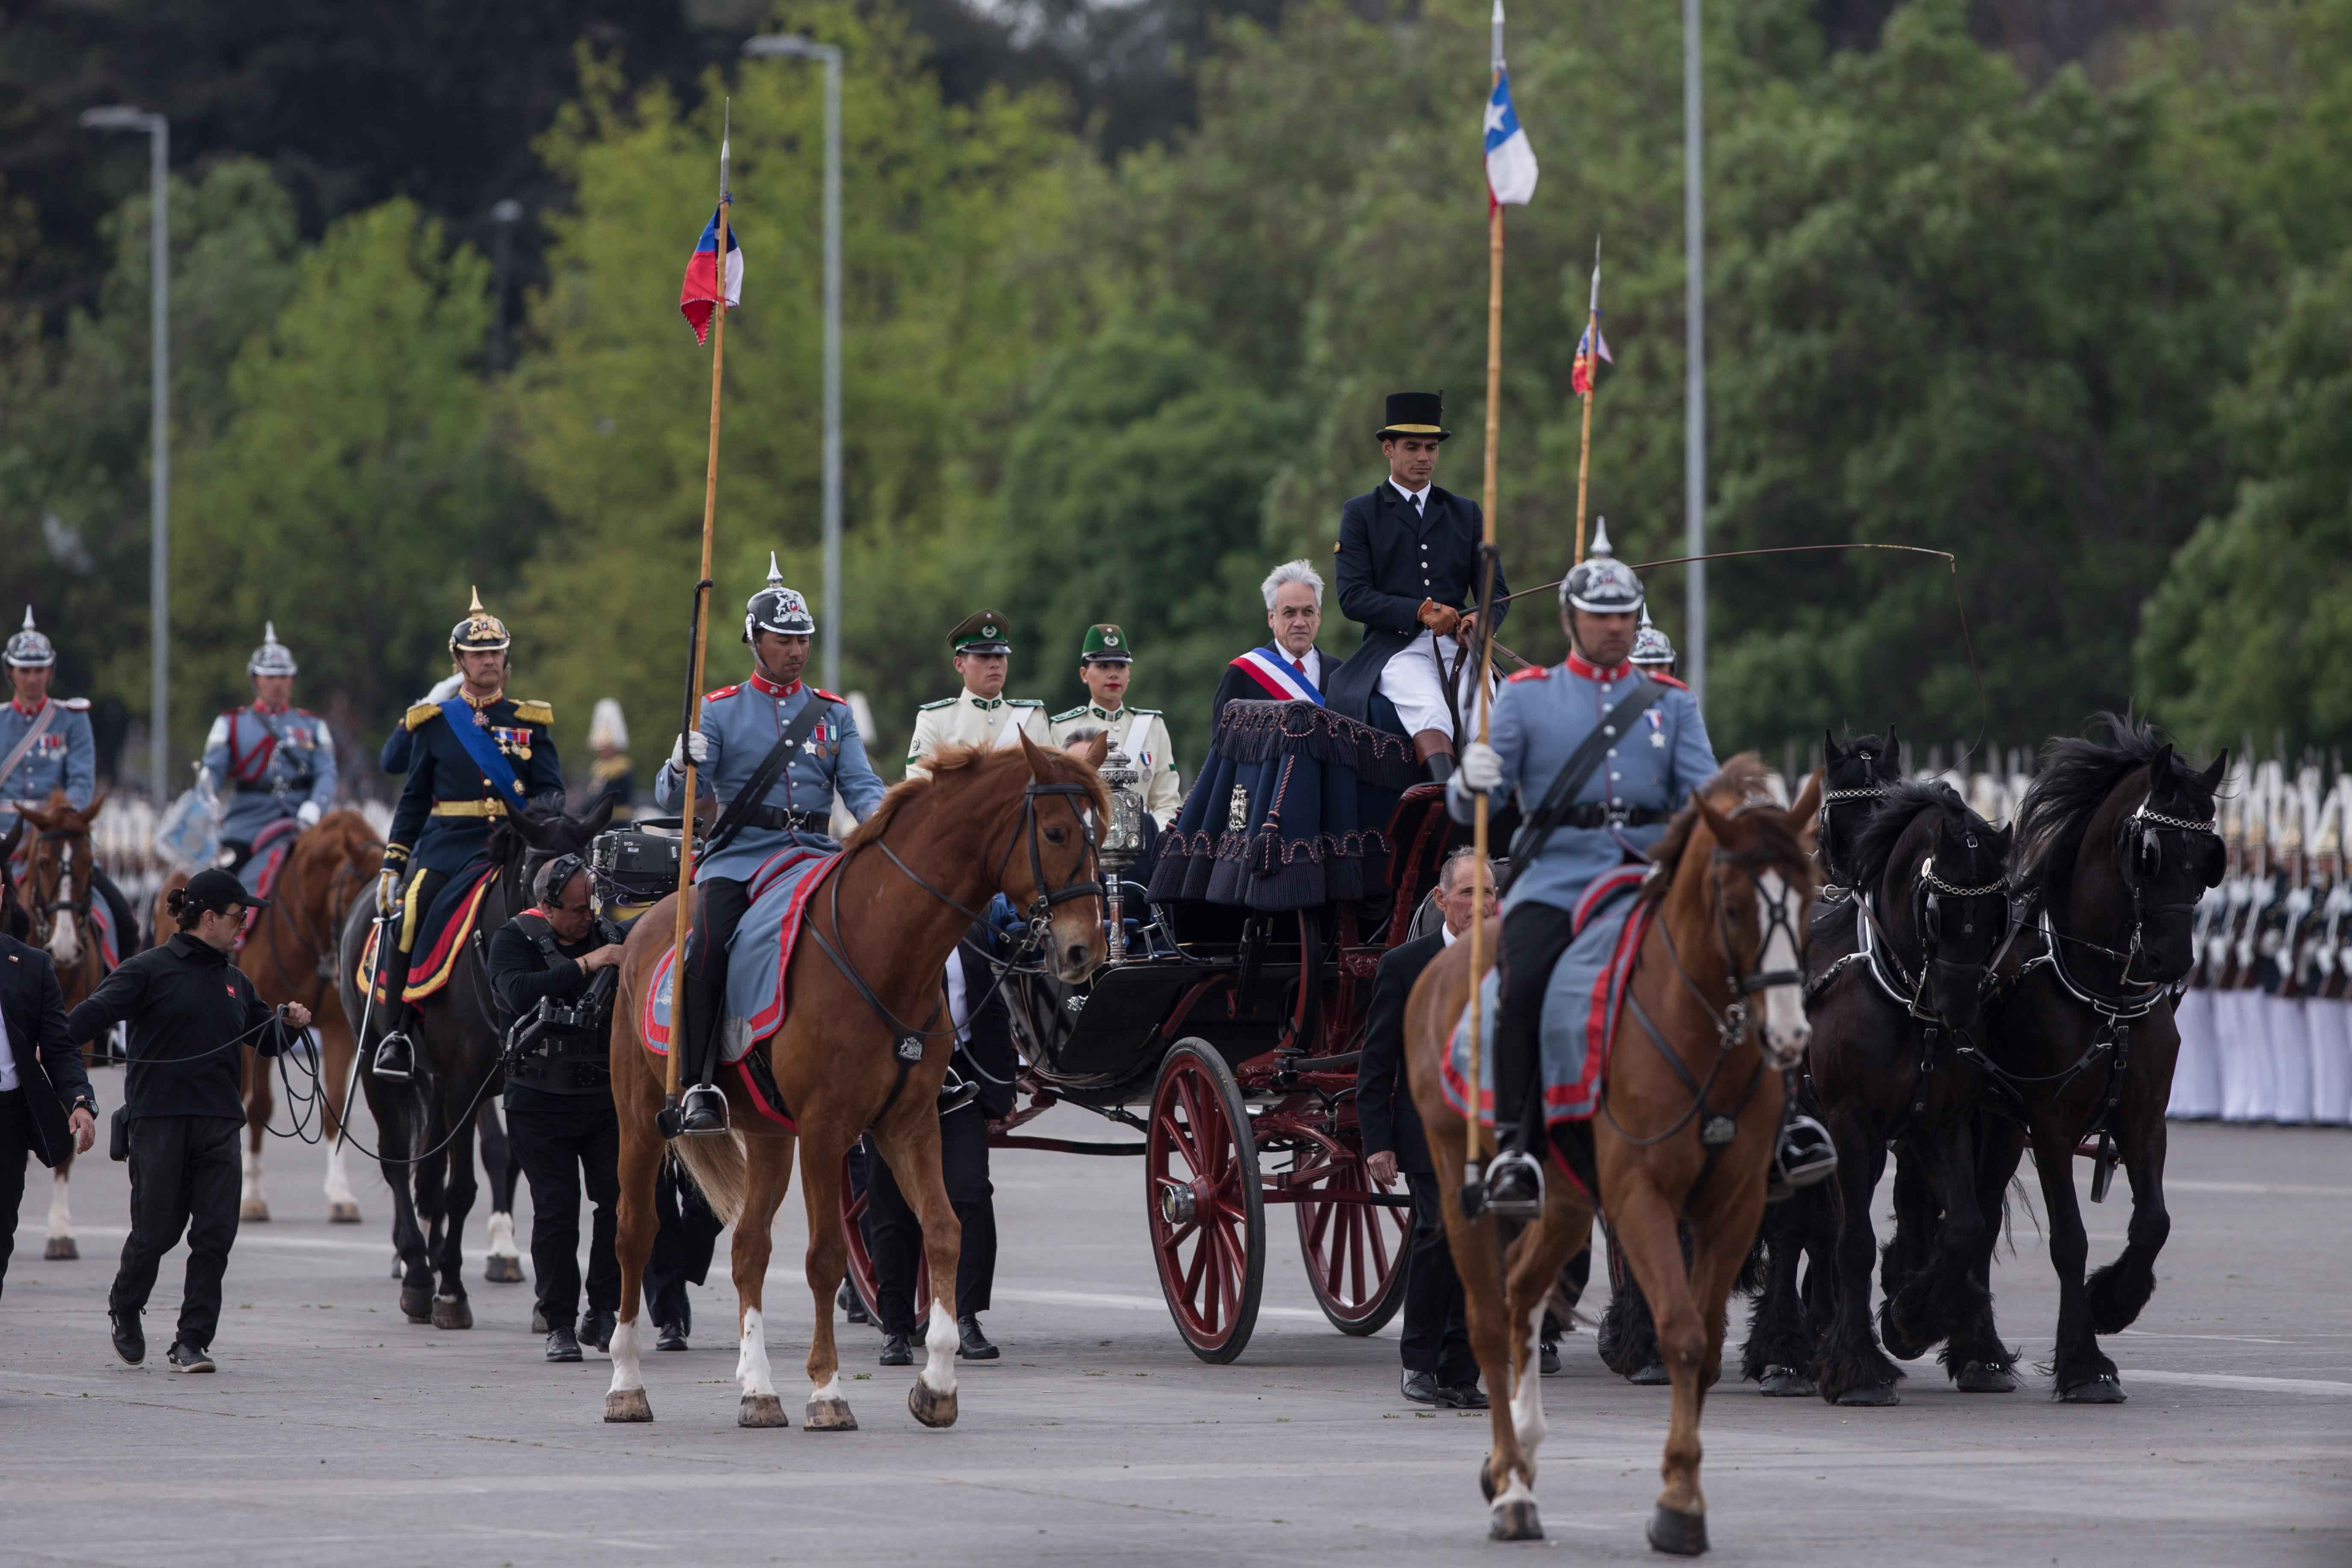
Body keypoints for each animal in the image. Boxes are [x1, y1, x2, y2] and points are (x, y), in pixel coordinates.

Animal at [341, 804, 621, 1335]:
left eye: (592, 882)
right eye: (530, 876)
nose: (559, 941)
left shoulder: (499, 1091)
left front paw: (540, 1298)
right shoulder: (464, 1086)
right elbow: (463, 1189)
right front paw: (451, 1291)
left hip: (434, 1085)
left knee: (427, 1174)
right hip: (375, 1066)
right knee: (397, 1161)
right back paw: (418, 1275)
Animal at [597, 738, 1091, 1438]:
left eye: (1101, 834)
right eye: (1054, 832)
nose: (1084, 948)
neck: (882, 949)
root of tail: (645, 924)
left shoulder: (911, 1123)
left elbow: (944, 1228)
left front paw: (937, 1382)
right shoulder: (827, 1130)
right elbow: (825, 1256)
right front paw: (827, 1390)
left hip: (769, 1135)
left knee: (749, 1247)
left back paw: (759, 1389)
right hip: (641, 1120)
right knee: (634, 1233)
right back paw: (626, 1382)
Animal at [1402, 757, 1825, 1542]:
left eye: (1809, 895)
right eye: (1733, 907)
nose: (1788, 1034)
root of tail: (1443, 969)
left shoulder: (1735, 1202)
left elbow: (1706, 1343)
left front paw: (1683, 1491)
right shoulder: (1639, 1195)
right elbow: (1682, 1332)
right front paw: (1678, 1501)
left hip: (1565, 1198)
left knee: (1521, 1293)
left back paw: (1515, 1459)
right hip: (1455, 1179)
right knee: (1487, 1317)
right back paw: (1512, 1492)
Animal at [1985, 719, 2220, 1401]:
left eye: (2210, 857)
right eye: (2149, 852)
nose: (2171, 959)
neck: (2105, 995)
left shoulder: (2144, 1119)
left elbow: (2155, 1223)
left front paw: (2111, 1303)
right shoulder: (2050, 1123)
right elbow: (2070, 1238)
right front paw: (2083, 1362)